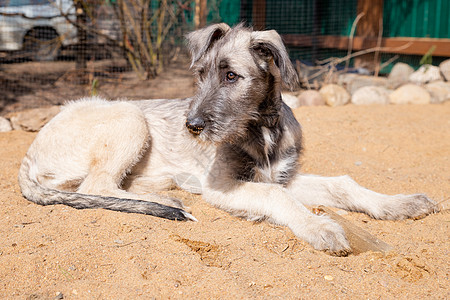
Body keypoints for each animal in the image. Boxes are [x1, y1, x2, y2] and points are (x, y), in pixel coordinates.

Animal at [18, 24, 440, 256]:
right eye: (200, 74)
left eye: (231, 76)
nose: (191, 126)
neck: (262, 130)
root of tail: (30, 150)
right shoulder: (222, 183)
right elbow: (275, 197)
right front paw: (317, 226)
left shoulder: (282, 175)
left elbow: (342, 184)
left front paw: (399, 204)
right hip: (128, 116)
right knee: (96, 185)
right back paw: (166, 202)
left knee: (108, 184)